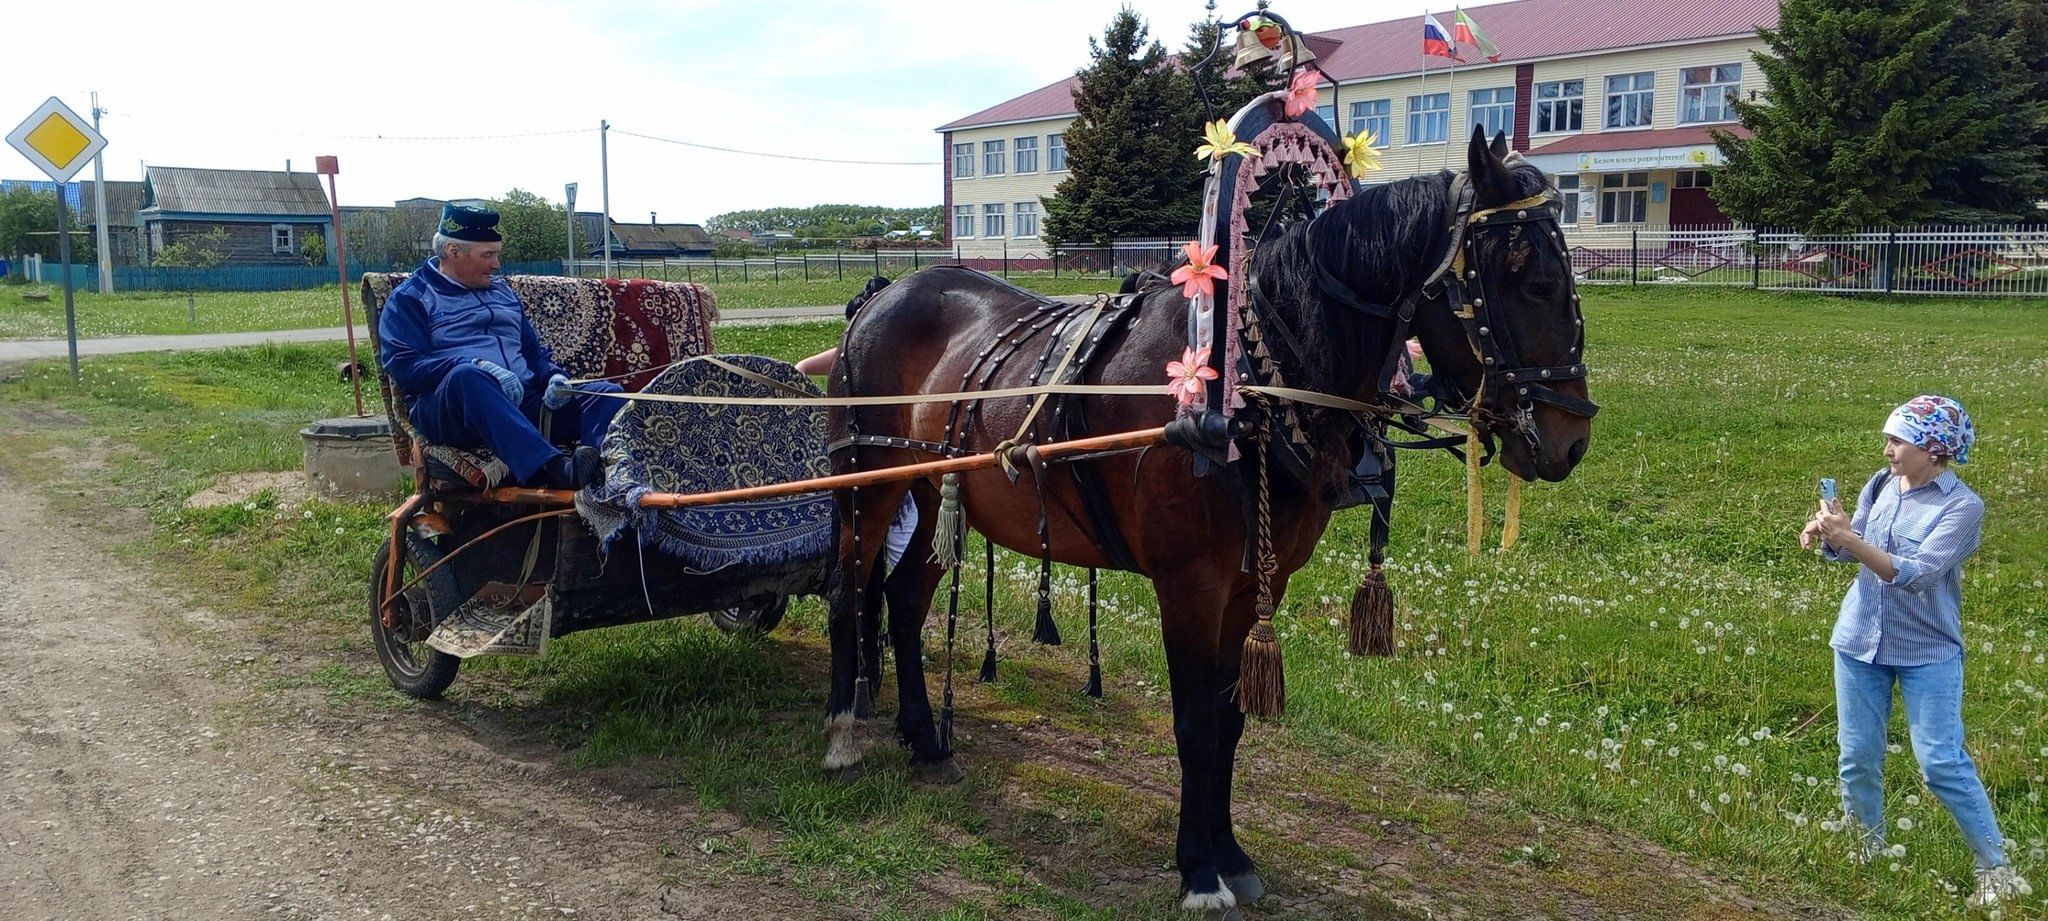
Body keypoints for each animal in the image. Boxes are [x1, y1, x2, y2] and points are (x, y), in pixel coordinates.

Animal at [819, 129, 1597, 912]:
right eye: (1533, 283)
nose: (1571, 440)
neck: (1245, 391)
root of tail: (883, 293)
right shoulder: (1189, 583)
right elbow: (1194, 722)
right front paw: (1197, 869)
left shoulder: (1260, 580)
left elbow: (1229, 719)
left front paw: (1230, 853)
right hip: (866, 485)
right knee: (850, 594)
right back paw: (842, 729)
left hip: (929, 492)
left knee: (904, 600)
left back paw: (926, 740)